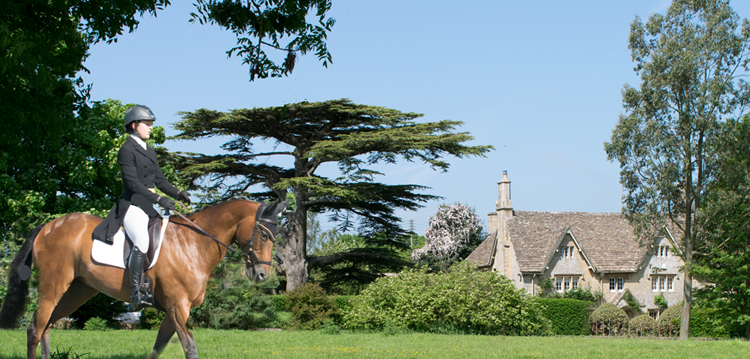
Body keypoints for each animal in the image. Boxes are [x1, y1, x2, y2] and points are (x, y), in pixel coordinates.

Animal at [0, 198, 288, 358]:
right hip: (53, 287)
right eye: (264, 235)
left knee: (47, 326)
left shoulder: (175, 311)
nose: (262, 274)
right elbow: (189, 347)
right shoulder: (177, 307)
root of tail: (48, 226)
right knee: (35, 329)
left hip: (78, 291)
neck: (194, 243)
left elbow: (158, 347)